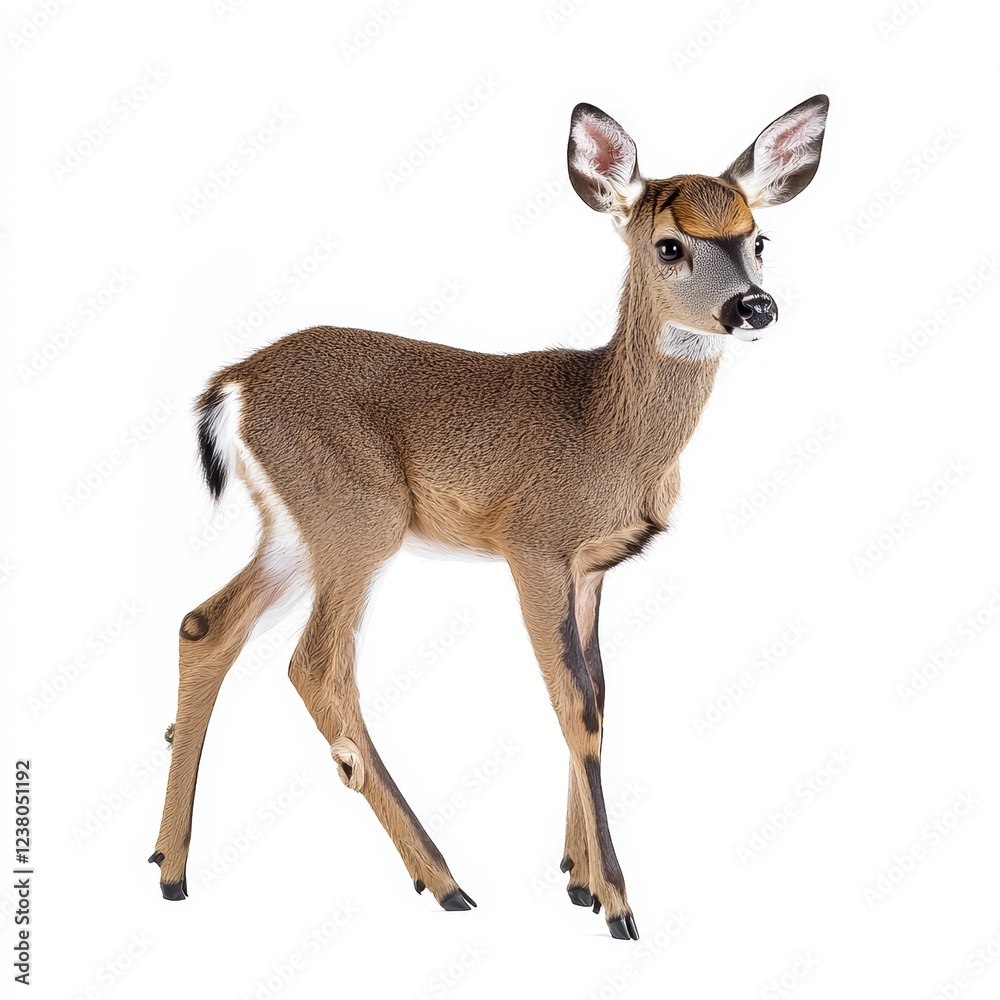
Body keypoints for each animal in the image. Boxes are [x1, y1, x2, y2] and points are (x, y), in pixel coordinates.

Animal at [149, 94, 829, 940]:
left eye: (757, 237)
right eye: (670, 244)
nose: (754, 305)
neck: (611, 432)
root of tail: (233, 383)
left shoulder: (591, 567)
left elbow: (597, 694)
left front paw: (577, 879)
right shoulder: (531, 544)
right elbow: (574, 703)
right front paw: (617, 904)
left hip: (294, 529)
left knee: (205, 624)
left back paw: (171, 870)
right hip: (358, 518)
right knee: (317, 665)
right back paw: (444, 881)